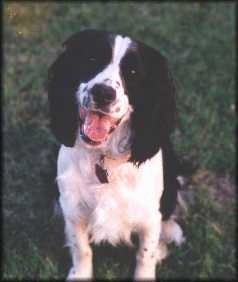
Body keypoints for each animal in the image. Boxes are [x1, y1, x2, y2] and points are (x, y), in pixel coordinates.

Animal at [46, 28, 184, 280]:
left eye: (133, 72)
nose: (103, 93)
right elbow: (81, 249)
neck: (103, 156)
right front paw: (80, 274)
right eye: (91, 59)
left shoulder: (149, 215)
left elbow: (145, 254)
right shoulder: (74, 208)